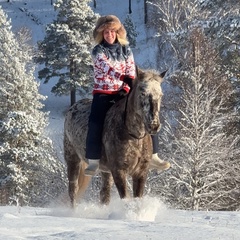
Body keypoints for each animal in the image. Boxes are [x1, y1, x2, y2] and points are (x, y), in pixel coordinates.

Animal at [62, 68, 166, 208]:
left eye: (160, 95)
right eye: (142, 92)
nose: (154, 125)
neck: (134, 137)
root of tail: (73, 107)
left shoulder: (141, 172)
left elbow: (137, 198)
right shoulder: (119, 171)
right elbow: (125, 198)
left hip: (106, 171)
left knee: (104, 194)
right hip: (72, 159)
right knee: (73, 190)